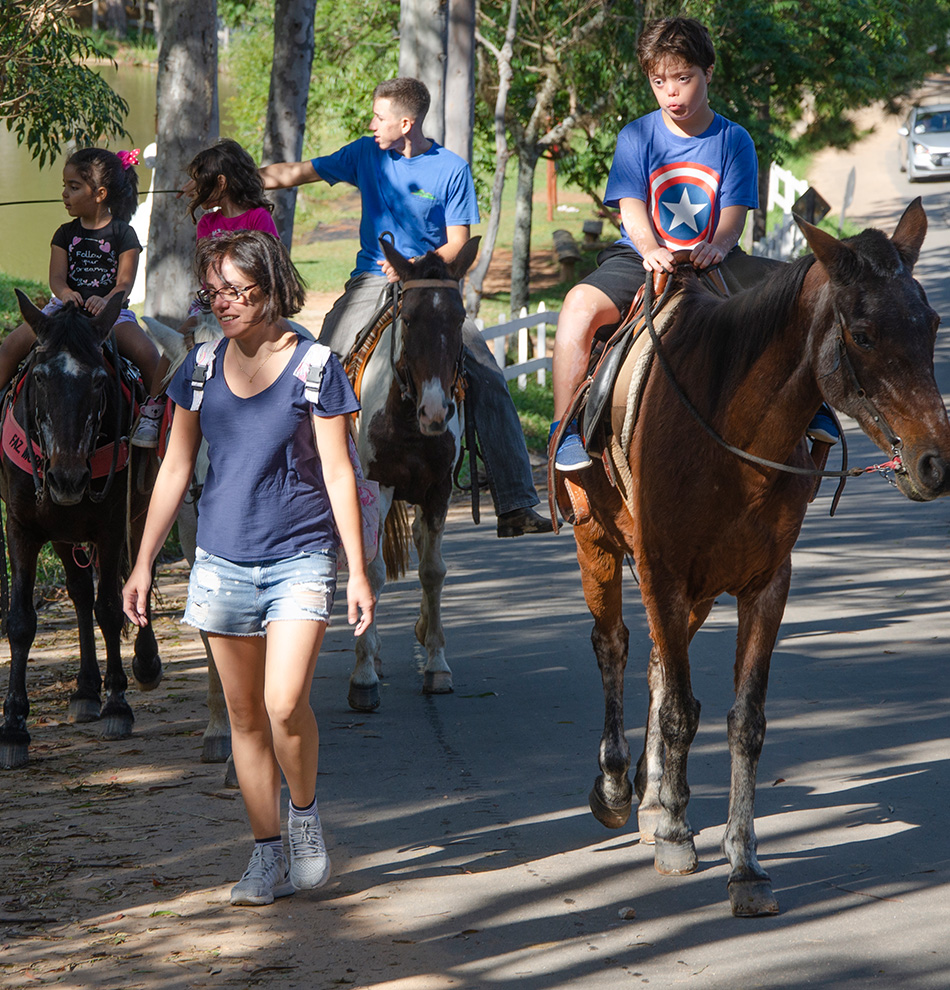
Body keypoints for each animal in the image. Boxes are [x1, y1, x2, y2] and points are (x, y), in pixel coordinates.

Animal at [0, 290, 160, 772]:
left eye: (98, 381)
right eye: (39, 378)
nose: (67, 479)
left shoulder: (110, 527)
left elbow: (111, 607)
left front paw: (118, 704)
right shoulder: (22, 528)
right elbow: (21, 622)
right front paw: (13, 727)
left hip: (140, 509)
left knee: (135, 578)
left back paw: (144, 664)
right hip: (64, 532)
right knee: (79, 593)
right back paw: (86, 689)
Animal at [572, 202, 950, 924]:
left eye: (932, 324)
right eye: (863, 333)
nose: (934, 463)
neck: (730, 436)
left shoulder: (766, 585)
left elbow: (742, 722)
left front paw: (742, 865)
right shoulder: (662, 571)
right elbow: (680, 709)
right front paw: (676, 835)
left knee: (658, 663)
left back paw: (653, 796)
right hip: (600, 545)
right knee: (613, 646)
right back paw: (614, 787)